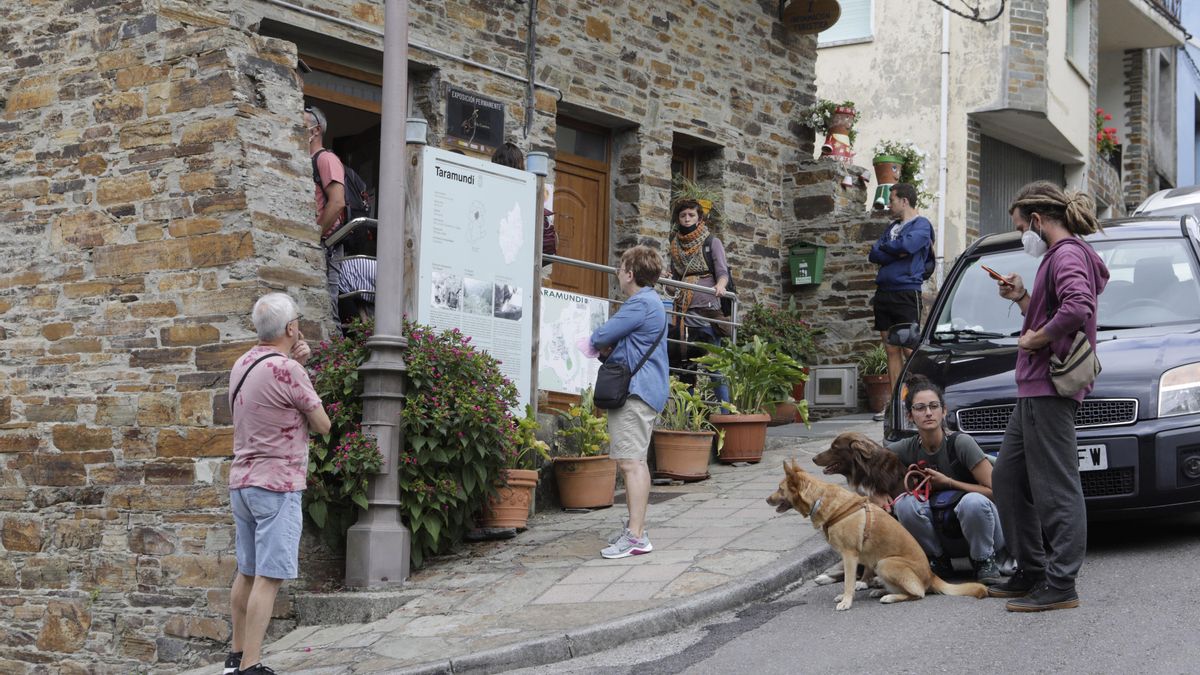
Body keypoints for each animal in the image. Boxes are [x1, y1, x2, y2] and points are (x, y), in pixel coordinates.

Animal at [768, 456, 984, 610]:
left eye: (779, 488)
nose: (766, 500)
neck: (820, 499)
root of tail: (931, 575)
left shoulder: (850, 555)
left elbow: (848, 582)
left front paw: (846, 601)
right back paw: (879, 591)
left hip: (885, 563)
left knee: (919, 593)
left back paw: (889, 596)